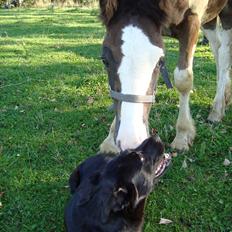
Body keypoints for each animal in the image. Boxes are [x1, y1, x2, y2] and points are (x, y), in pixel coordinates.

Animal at [98, 0, 232, 154]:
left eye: (160, 62)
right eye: (104, 60)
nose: (131, 141)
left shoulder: (193, 19)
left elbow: (183, 79)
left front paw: (182, 135)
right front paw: (110, 140)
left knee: (224, 54)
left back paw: (217, 109)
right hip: (210, 19)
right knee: (217, 48)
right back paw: (225, 96)